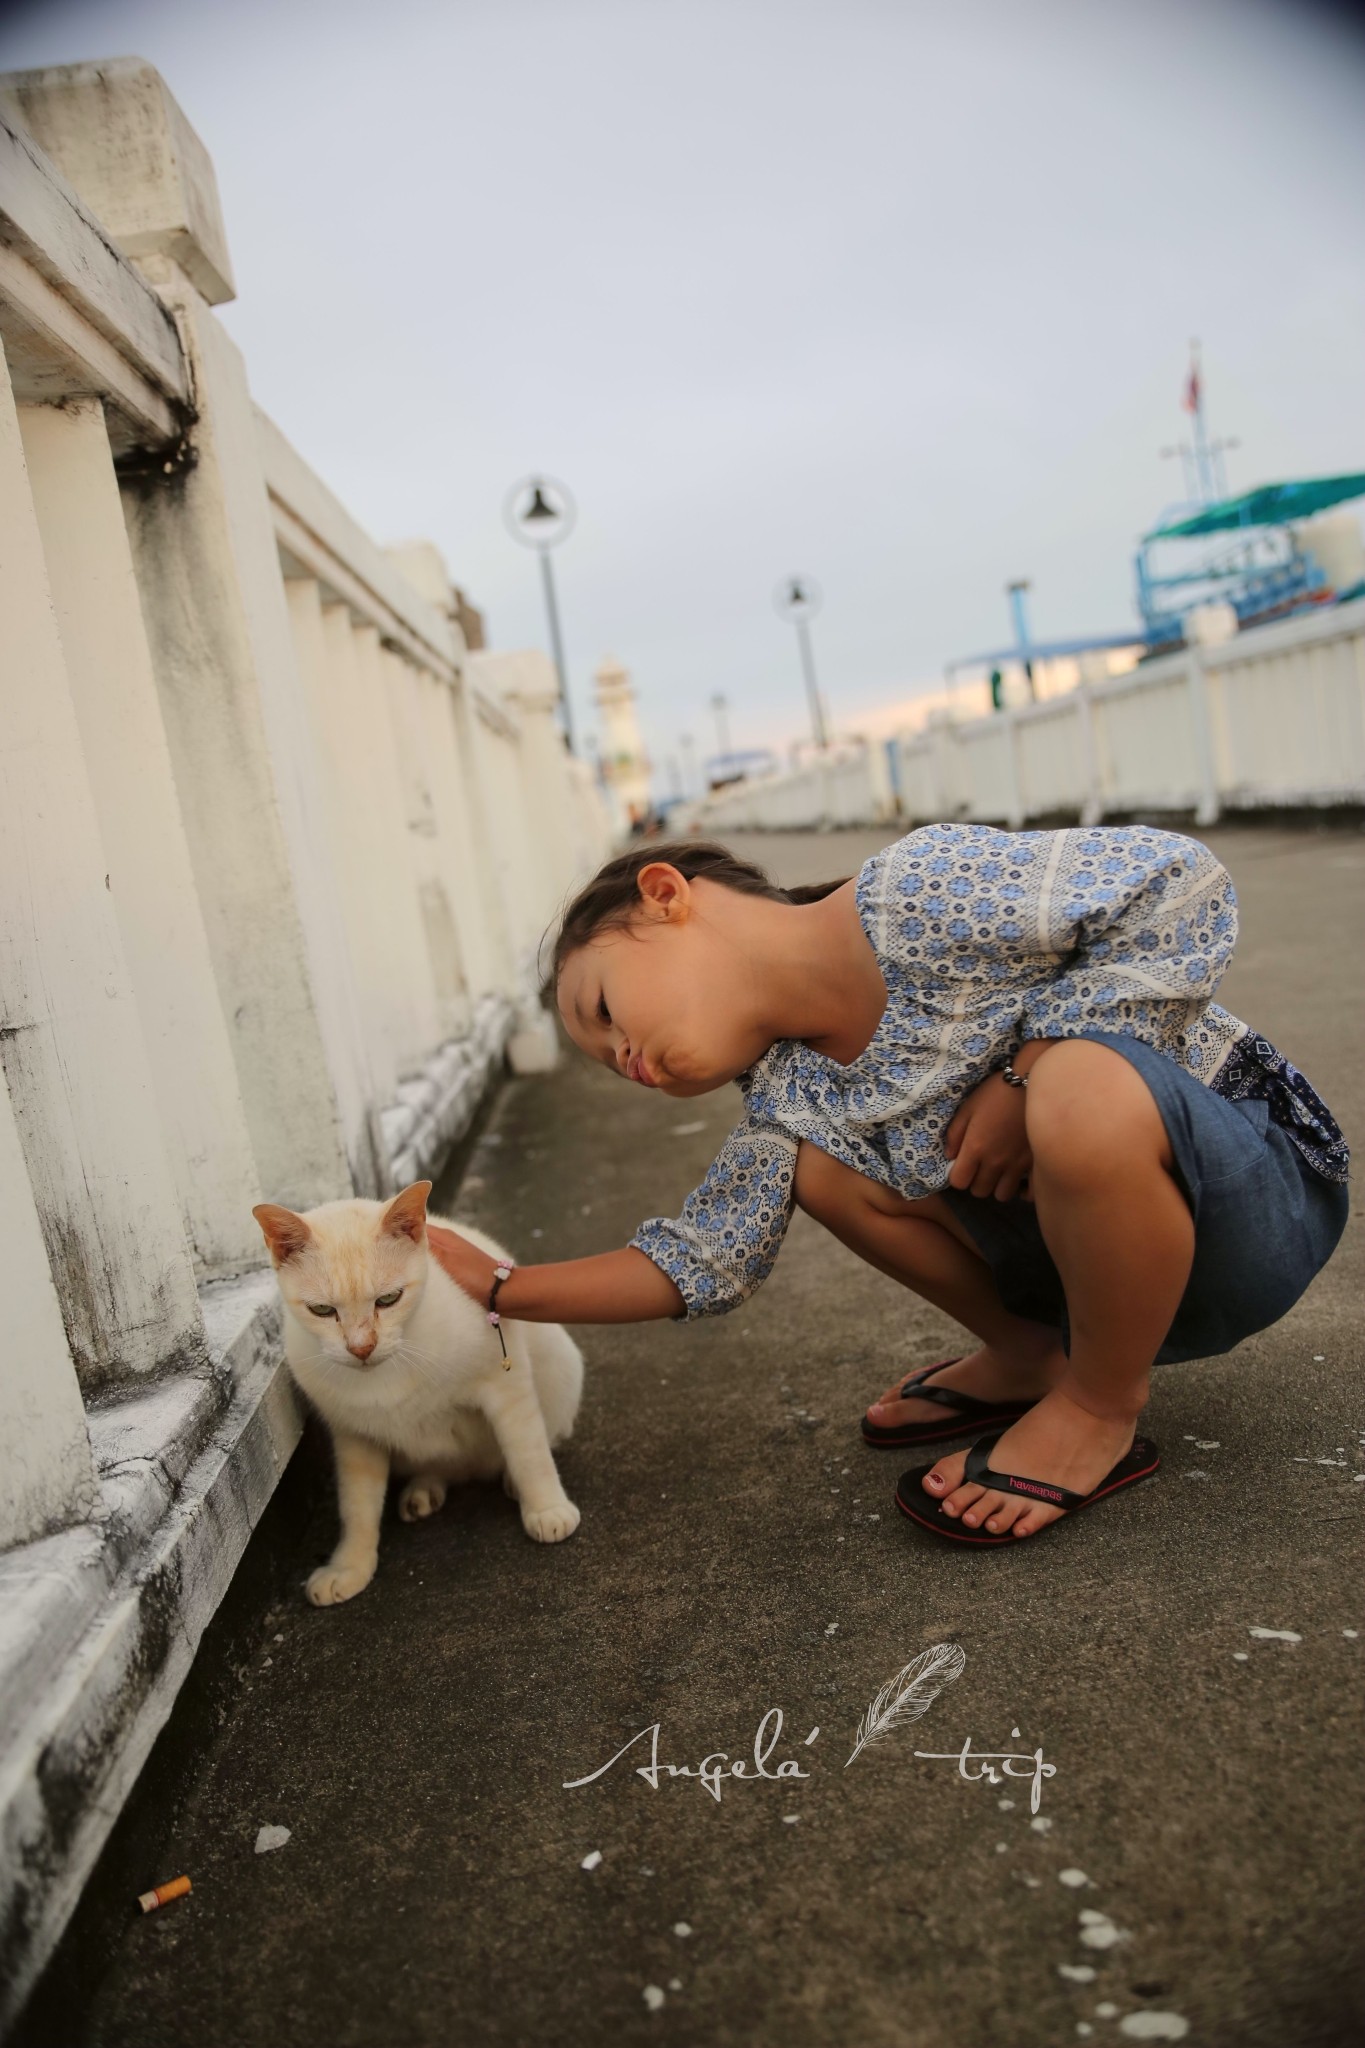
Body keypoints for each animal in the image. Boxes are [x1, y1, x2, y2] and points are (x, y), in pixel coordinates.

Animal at [250, 1187, 581, 1597]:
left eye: (388, 1300)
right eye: (323, 1310)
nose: (361, 1348)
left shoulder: (506, 1383)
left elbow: (528, 1452)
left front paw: (546, 1507)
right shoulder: (353, 1435)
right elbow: (356, 1505)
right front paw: (350, 1566)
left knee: (537, 1441)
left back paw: (510, 1482)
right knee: (439, 1465)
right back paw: (424, 1490)